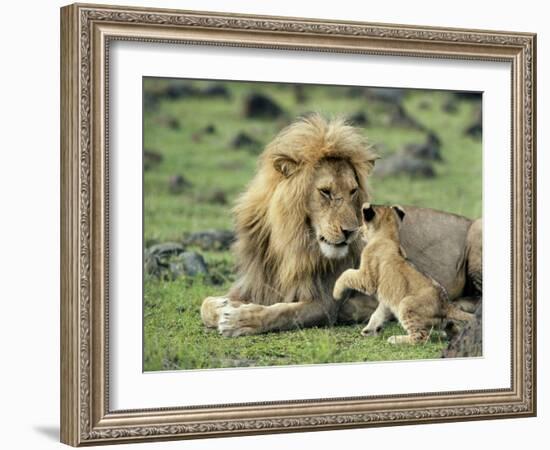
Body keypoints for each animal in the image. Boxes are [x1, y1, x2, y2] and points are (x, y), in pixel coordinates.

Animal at [203, 114, 484, 336]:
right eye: (325, 192)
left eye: (353, 191)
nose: (351, 232)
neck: (289, 243)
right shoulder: (255, 282)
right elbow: (205, 304)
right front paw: (225, 306)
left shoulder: (326, 302)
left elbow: (282, 312)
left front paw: (241, 320)